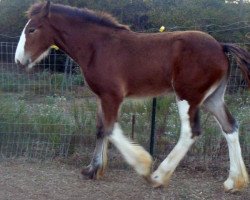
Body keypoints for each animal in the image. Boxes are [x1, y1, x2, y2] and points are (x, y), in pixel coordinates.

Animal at [14, 1, 249, 192]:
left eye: (32, 29)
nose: (19, 60)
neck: (98, 47)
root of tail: (220, 46)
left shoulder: (113, 96)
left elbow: (110, 129)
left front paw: (142, 164)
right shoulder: (101, 96)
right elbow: (100, 129)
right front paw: (92, 170)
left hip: (188, 96)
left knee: (190, 131)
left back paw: (158, 177)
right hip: (212, 99)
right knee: (230, 127)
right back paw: (233, 182)